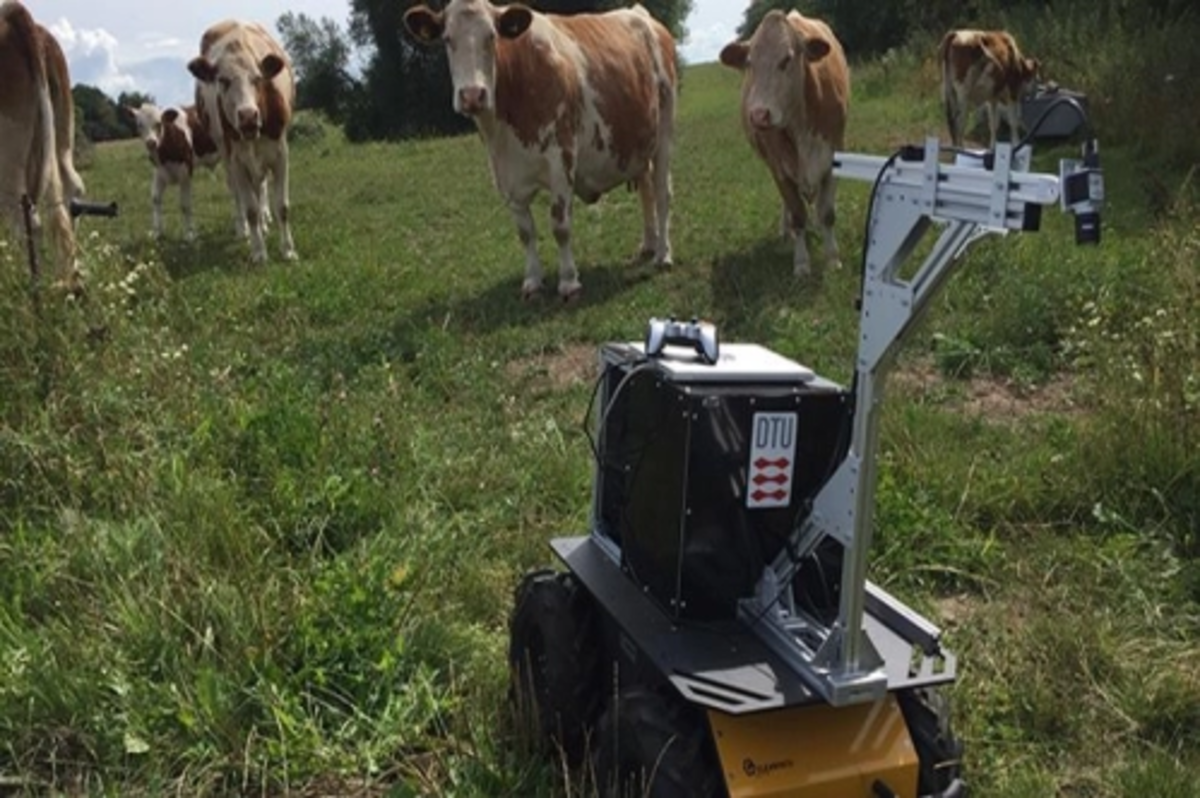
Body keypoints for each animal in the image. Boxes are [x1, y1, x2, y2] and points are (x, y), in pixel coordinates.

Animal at [189, 21, 300, 261]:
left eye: (257, 78)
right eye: (223, 81)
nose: (248, 116)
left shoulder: (281, 154)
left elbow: (282, 206)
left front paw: (288, 250)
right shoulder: (237, 160)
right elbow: (250, 209)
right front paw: (258, 252)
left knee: (261, 186)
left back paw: (265, 223)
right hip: (225, 154)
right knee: (236, 193)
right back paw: (243, 231)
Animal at [403, 0, 681, 298]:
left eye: (492, 36)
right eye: (447, 39)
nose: (472, 95)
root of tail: (640, 13)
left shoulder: (561, 159)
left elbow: (560, 225)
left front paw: (569, 281)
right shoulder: (506, 174)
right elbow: (525, 232)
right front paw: (533, 281)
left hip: (664, 132)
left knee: (662, 192)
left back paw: (663, 254)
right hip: (639, 145)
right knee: (646, 190)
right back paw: (649, 245)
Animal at [715, 7, 849, 277]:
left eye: (786, 60)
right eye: (749, 63)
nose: (758, 115)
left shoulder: (833, 158)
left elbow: (827, 213)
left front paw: (832, 258)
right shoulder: (779, 169)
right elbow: (797, 214)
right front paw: (801, 263)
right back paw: (786, 231)